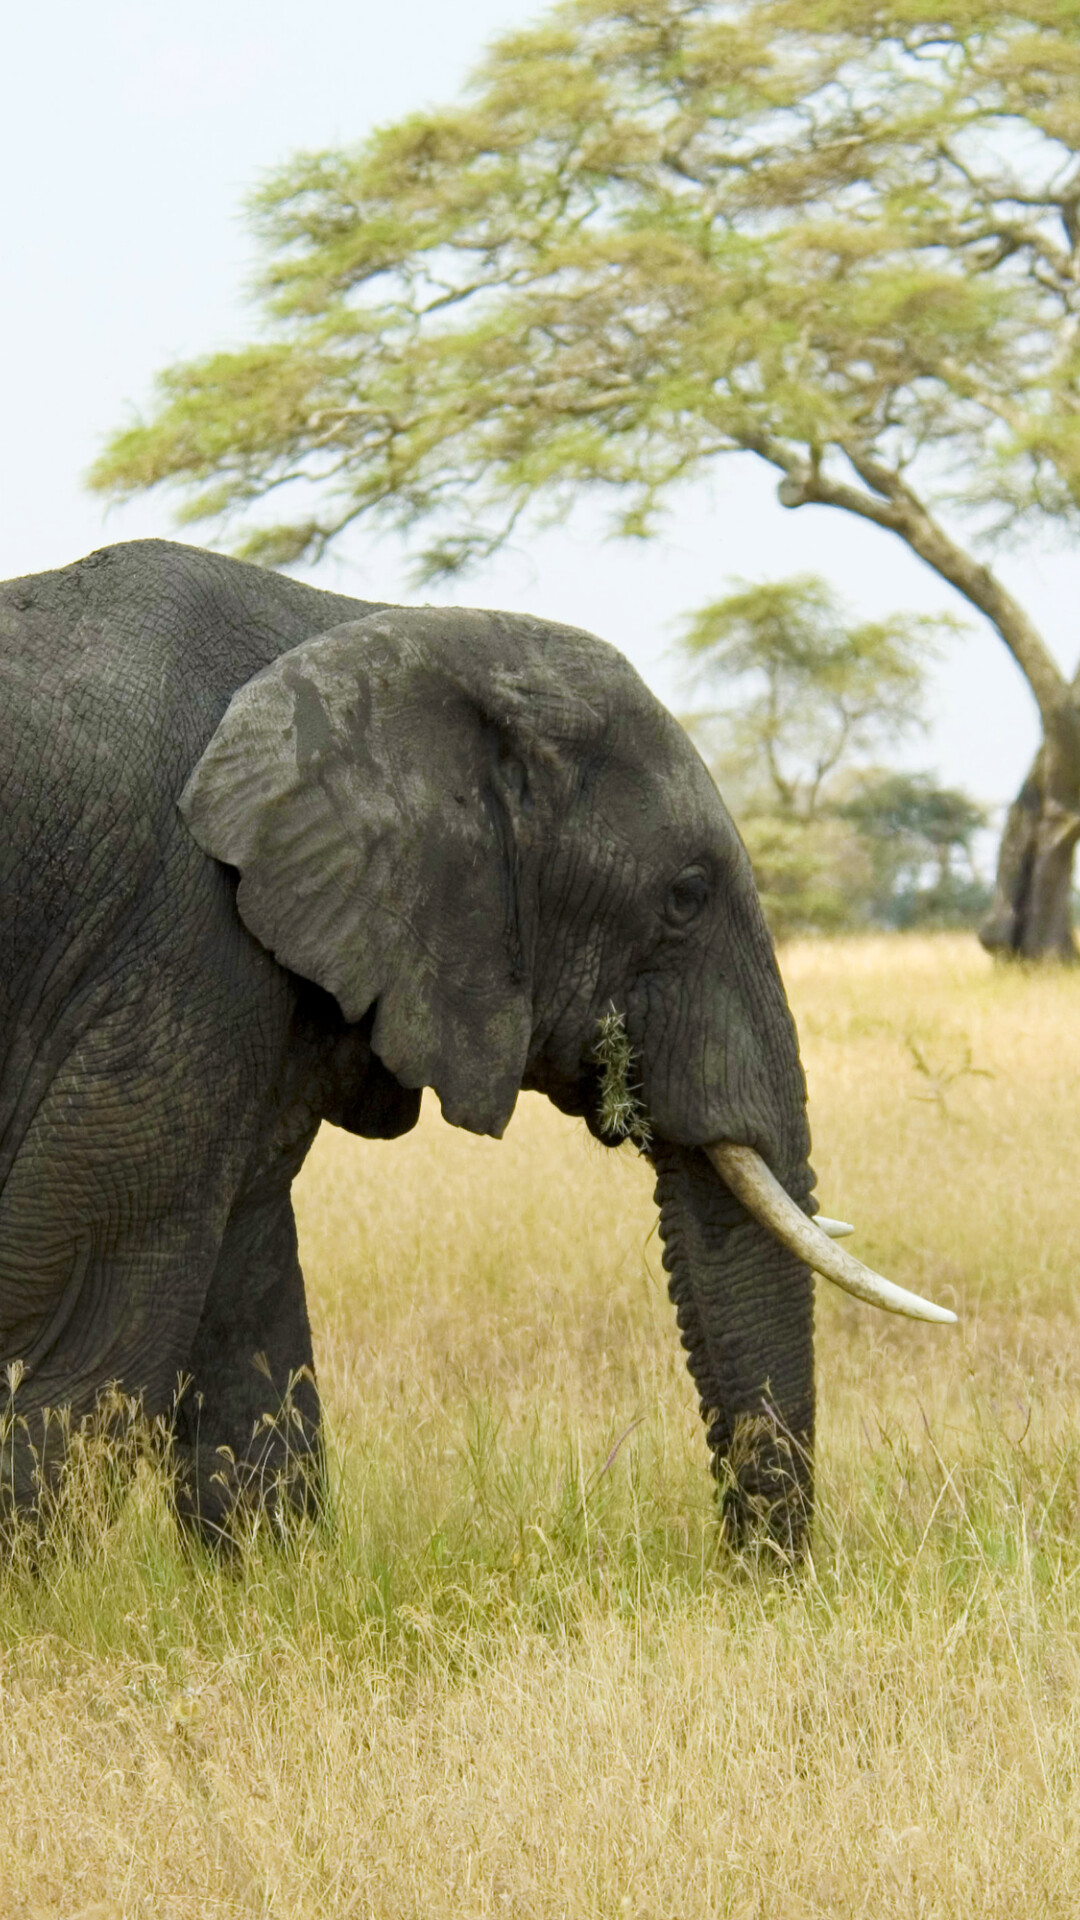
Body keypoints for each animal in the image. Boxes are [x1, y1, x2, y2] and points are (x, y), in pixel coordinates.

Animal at [0, 537, 949, 1543]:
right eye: (686, 895)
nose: (755, 1572)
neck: (374, 629)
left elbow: (248, 1322)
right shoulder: (183, 938)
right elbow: (92, 1352)